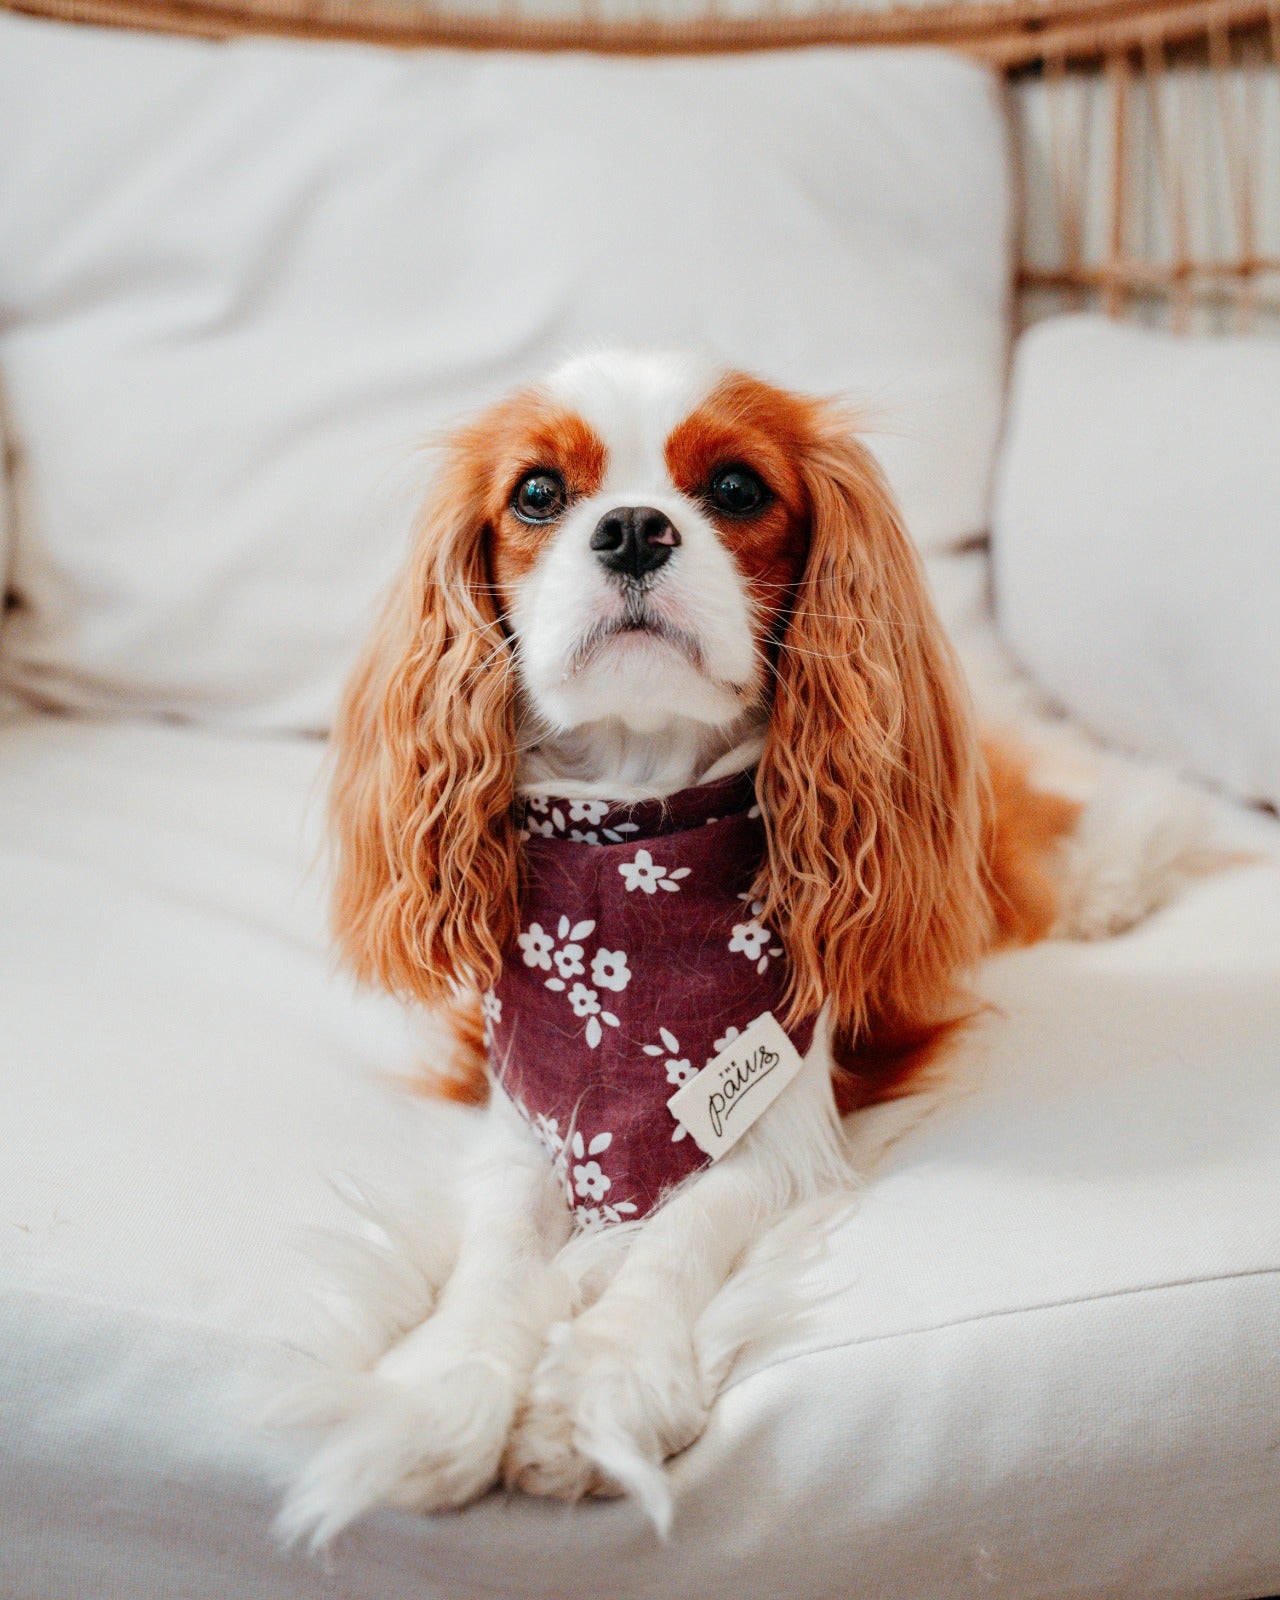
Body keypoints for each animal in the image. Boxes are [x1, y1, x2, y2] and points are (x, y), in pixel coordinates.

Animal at [276, 347, 1203, 1536]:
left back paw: (1123, 864)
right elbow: (498, 1250)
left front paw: (600, 1388)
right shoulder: (523, 1106)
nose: (632, 527)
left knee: (1046, 841)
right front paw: (440, 1392)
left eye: (734, 488)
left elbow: (683, 1229)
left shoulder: (780, 1115)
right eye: (536, 493)